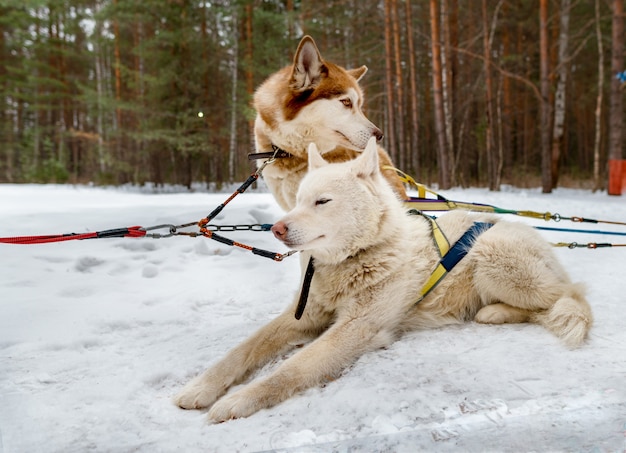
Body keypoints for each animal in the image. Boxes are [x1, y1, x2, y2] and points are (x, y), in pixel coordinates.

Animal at [173, 136, 592, 422]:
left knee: (566, 297)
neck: (354, 259)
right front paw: (202, 386)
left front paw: (238, 400)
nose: (277, 229)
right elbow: (242, 350)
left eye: (322, 201)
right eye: (299, 200)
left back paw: (500, 312)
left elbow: (290, 369)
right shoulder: (304, 314)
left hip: (491, 253)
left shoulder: (355, 328)